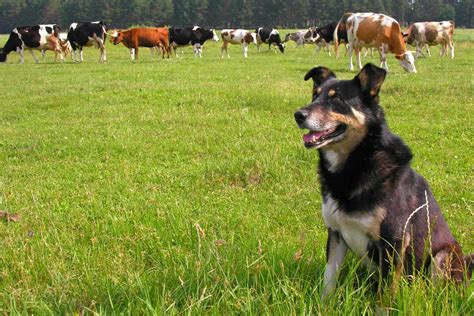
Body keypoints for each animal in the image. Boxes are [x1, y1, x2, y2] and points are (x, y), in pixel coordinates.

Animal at [294, 63, 472, 298]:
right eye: (315, 95)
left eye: (337, 98)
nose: (298, 115)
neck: (358, 163)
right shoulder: (336, 233)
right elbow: (328, 280)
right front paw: (325, 303)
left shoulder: (393, 241)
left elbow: (385, 294)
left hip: (443, 256)